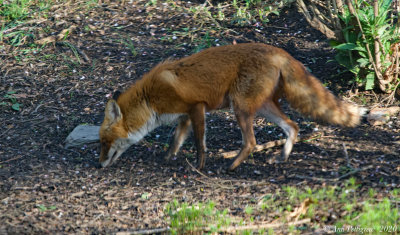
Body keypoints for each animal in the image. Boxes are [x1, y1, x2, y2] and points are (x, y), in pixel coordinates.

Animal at [98, 42, 360, 171]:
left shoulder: (197, 107)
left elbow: (200, 144)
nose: (99, 164)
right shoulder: (184, 116)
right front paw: (167, 159)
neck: (150, 98)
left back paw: (231, 166)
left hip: (240, 107)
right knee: (293, 126)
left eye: (103, 142)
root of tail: (279, 51)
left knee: (251, 142)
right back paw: (281, 157)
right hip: (263, 106)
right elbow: (175, 141)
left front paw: (199, 167)